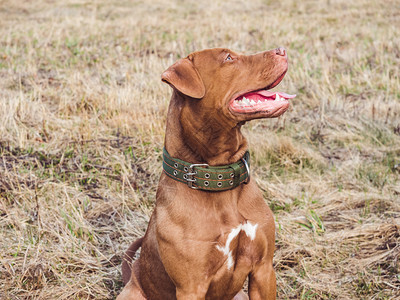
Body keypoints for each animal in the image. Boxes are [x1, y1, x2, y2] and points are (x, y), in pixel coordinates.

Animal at [117, 47, 296, 300]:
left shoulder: (263, 269)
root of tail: (133, 274)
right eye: (228, 58)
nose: (281, 50)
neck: (218, 176)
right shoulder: (191, 287)